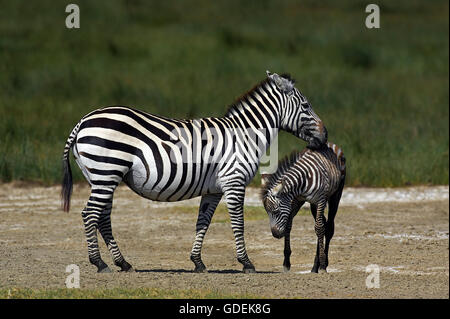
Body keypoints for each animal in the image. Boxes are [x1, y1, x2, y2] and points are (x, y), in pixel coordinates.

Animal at [60, 71, 326, 274]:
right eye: (306, 105)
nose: (325, 135)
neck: (244, 135)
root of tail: (82, 121)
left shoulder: (214, 190)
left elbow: (203, 222)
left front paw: (197, 262)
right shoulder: (234, 182)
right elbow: (238, 223)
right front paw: (246, 262)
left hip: (102, 177)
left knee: (102, 217)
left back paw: (122, 263)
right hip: (106, 172)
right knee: (90, 214)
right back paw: (99, 263)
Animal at [260, 144, 344, 274]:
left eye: (276, 211)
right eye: (267, 213)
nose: (275, 234)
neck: (302, 182)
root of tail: (331, 144)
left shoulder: (320, 200)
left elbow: (319, 228)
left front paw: (323, 266)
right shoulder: (295, 201)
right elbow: (288, 226)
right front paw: (286, 263)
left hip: (336, 194)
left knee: (328, 227)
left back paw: (323, 264)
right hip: (314, 205)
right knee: (323, 223)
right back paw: (315, 266)